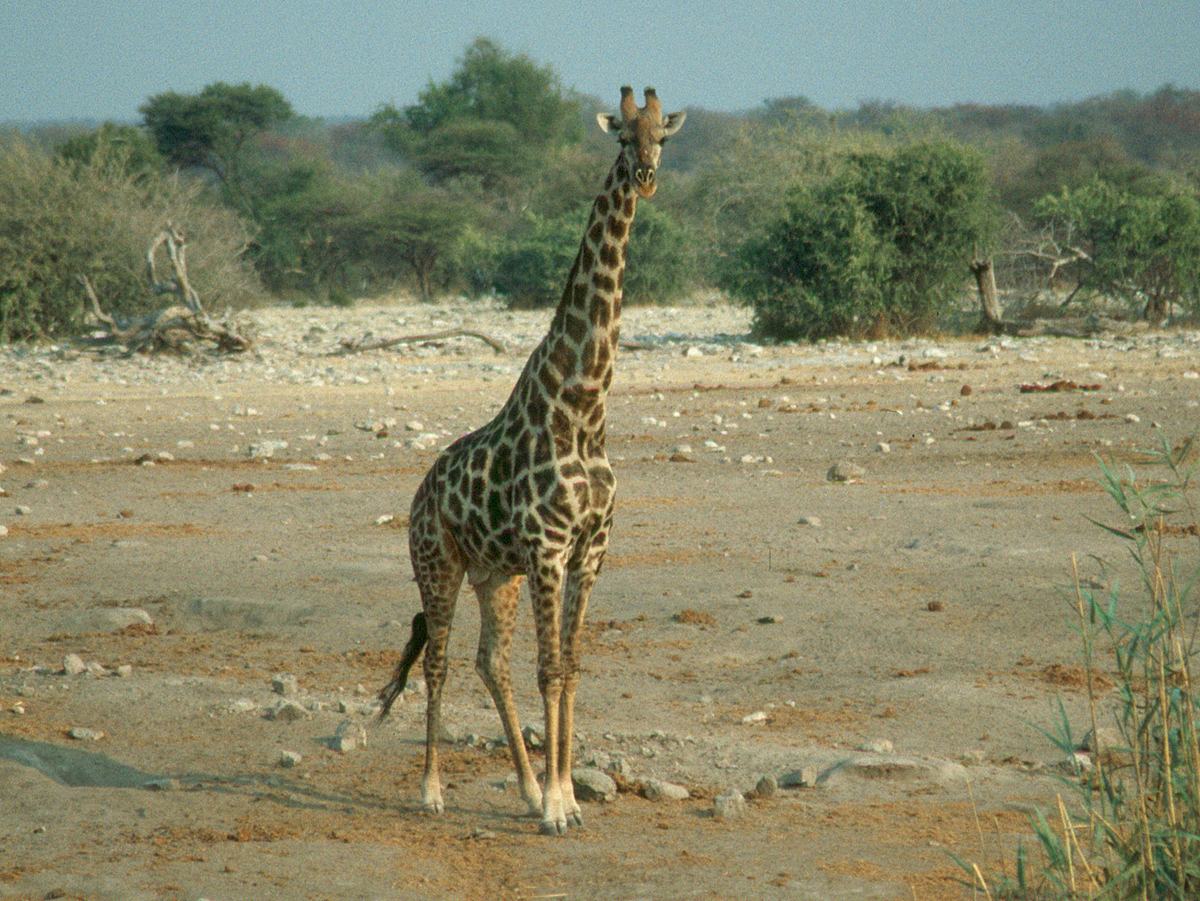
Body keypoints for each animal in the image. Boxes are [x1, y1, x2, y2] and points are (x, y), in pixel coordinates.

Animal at [378, 86, 685, 835]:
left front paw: (563, 795)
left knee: (492, 661)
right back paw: (432, 790)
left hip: (498, 575)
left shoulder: (589, 549)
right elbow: (550, 669)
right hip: (439, 563)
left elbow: (569, 666)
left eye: (663, 135)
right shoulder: (549, 546)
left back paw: (520, 784)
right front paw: (554, 806)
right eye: (621, 138)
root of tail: (420, 492)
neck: (585, 408)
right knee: (439, 661)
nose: (646, 176)